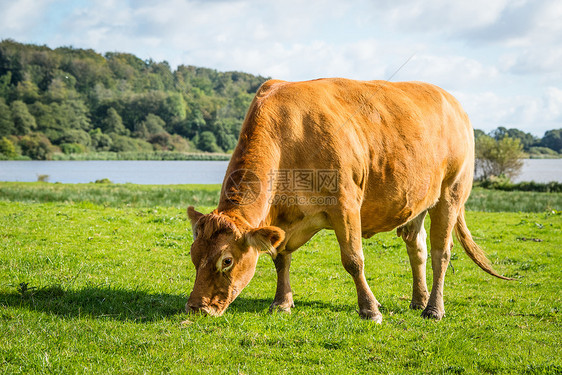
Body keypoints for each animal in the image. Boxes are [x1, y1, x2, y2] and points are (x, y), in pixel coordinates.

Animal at [184, 77, 508, 324]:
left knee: (442, 252)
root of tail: (451, 100)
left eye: (227, 261)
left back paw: (433, 309)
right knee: (418, 249)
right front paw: (282, 303)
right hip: (417, 200)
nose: (197, 308)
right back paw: (419, 299)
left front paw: (370, 310)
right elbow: (280, 257)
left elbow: (353, 259)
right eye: (193, 255)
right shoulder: (282, 220)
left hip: (451, 192)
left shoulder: (346, 204)